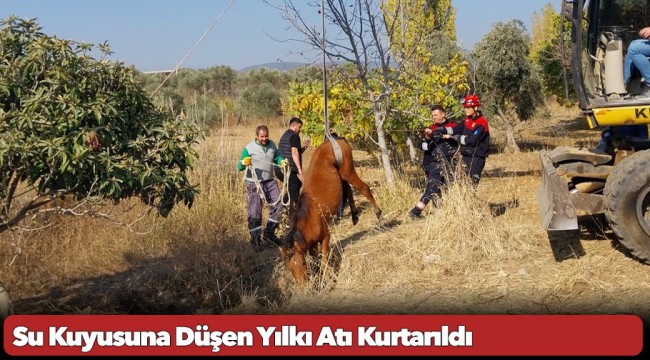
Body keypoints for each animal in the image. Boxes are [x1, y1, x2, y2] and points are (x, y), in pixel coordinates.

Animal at [278, 138, 380, 284]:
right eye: (291, 270)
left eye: (302, 263)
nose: (303, 286)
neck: (309, 219)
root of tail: (336, 140)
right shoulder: (311, 245)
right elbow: (316, 257)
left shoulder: (326, 236)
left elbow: (325, 257)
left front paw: (328, 276)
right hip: (341, 174)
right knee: (348, 189)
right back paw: (354, 216)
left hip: (348, 170)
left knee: (364, 188)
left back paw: (377, 212)